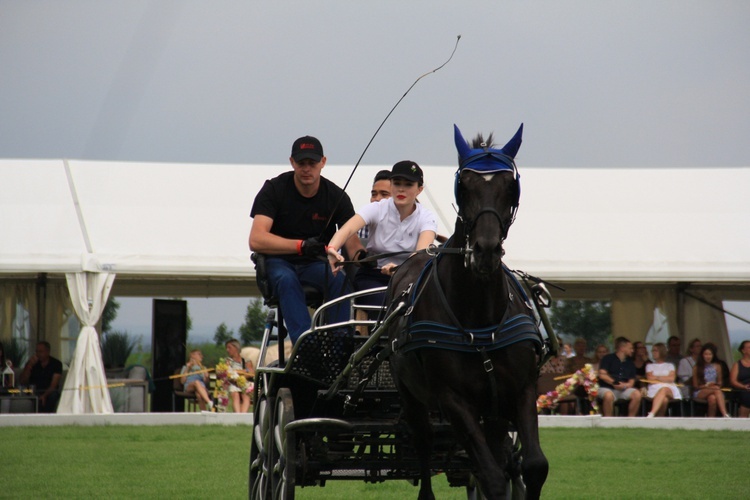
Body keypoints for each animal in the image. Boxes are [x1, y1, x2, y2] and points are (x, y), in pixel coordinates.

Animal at [384, 125, 548, 500]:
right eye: (464, 186)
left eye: (510, 186)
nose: (485, 250)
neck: (481, 318)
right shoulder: (453, 400)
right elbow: (491, 477)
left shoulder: (522, 389)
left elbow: (533, 466)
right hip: (413, 397)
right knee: (426, 444)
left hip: (494, 409)